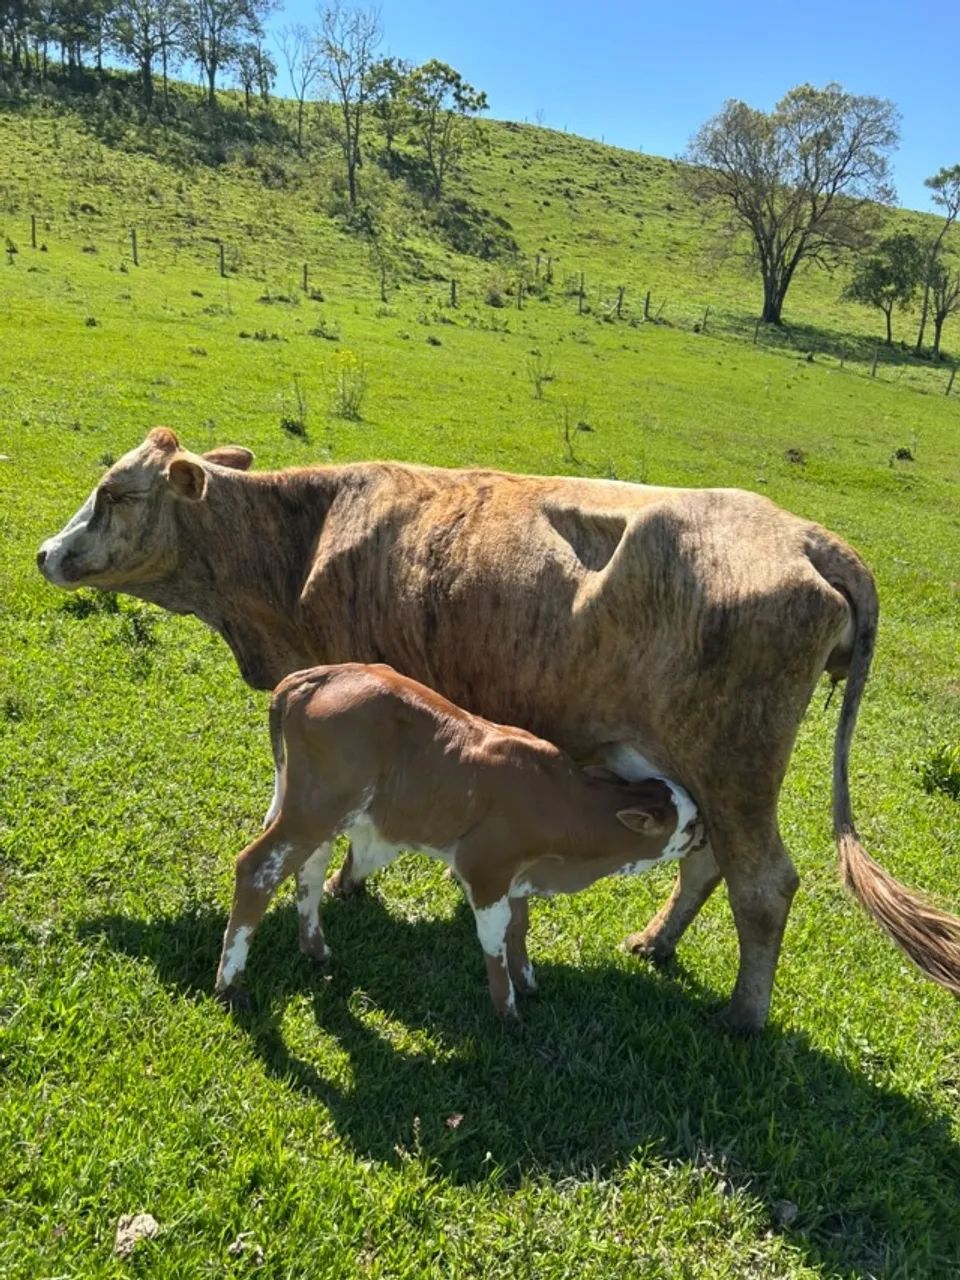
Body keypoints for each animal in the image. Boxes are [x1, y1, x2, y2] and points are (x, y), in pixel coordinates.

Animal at [215, 662, 706, 1019]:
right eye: (687, 824)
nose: (704, 835)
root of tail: (313, 676)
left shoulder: (517, 874)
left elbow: (518, 926)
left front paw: (528, 981)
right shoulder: (485, 868)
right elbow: (493, 936)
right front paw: (507, 1009)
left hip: (315, 811)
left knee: (310, 869)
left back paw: (315, 949)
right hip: (315, 809)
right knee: (258, 870)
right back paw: (230, 986)